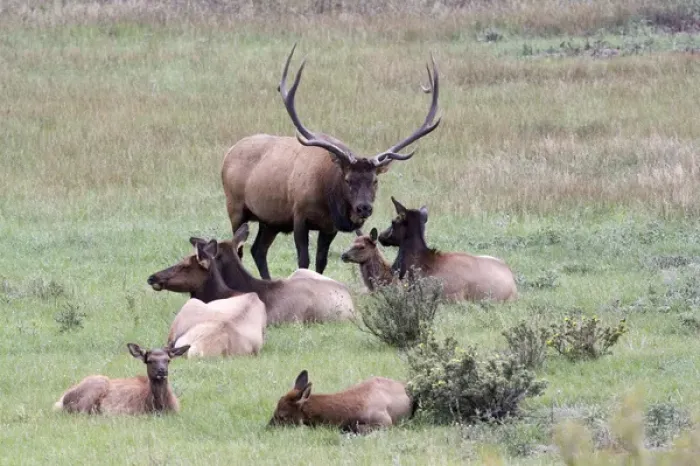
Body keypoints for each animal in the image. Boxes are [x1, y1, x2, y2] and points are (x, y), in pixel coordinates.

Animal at [53, 343, 189, 415]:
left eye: (168, 360)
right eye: (150, 361)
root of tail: (61, 400)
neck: (159, 407)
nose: (162, 370)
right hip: (98, 382)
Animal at [221, 43, 441, 279]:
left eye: (375, 180)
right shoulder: (299, 216)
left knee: (258, 249)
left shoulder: (328, 227)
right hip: (235, 207)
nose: (364, 208)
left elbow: (321, 261)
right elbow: (303, 260)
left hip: (270, 220)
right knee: (241, 248)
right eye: (348, 179)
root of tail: (229, 152)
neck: (327, 196)